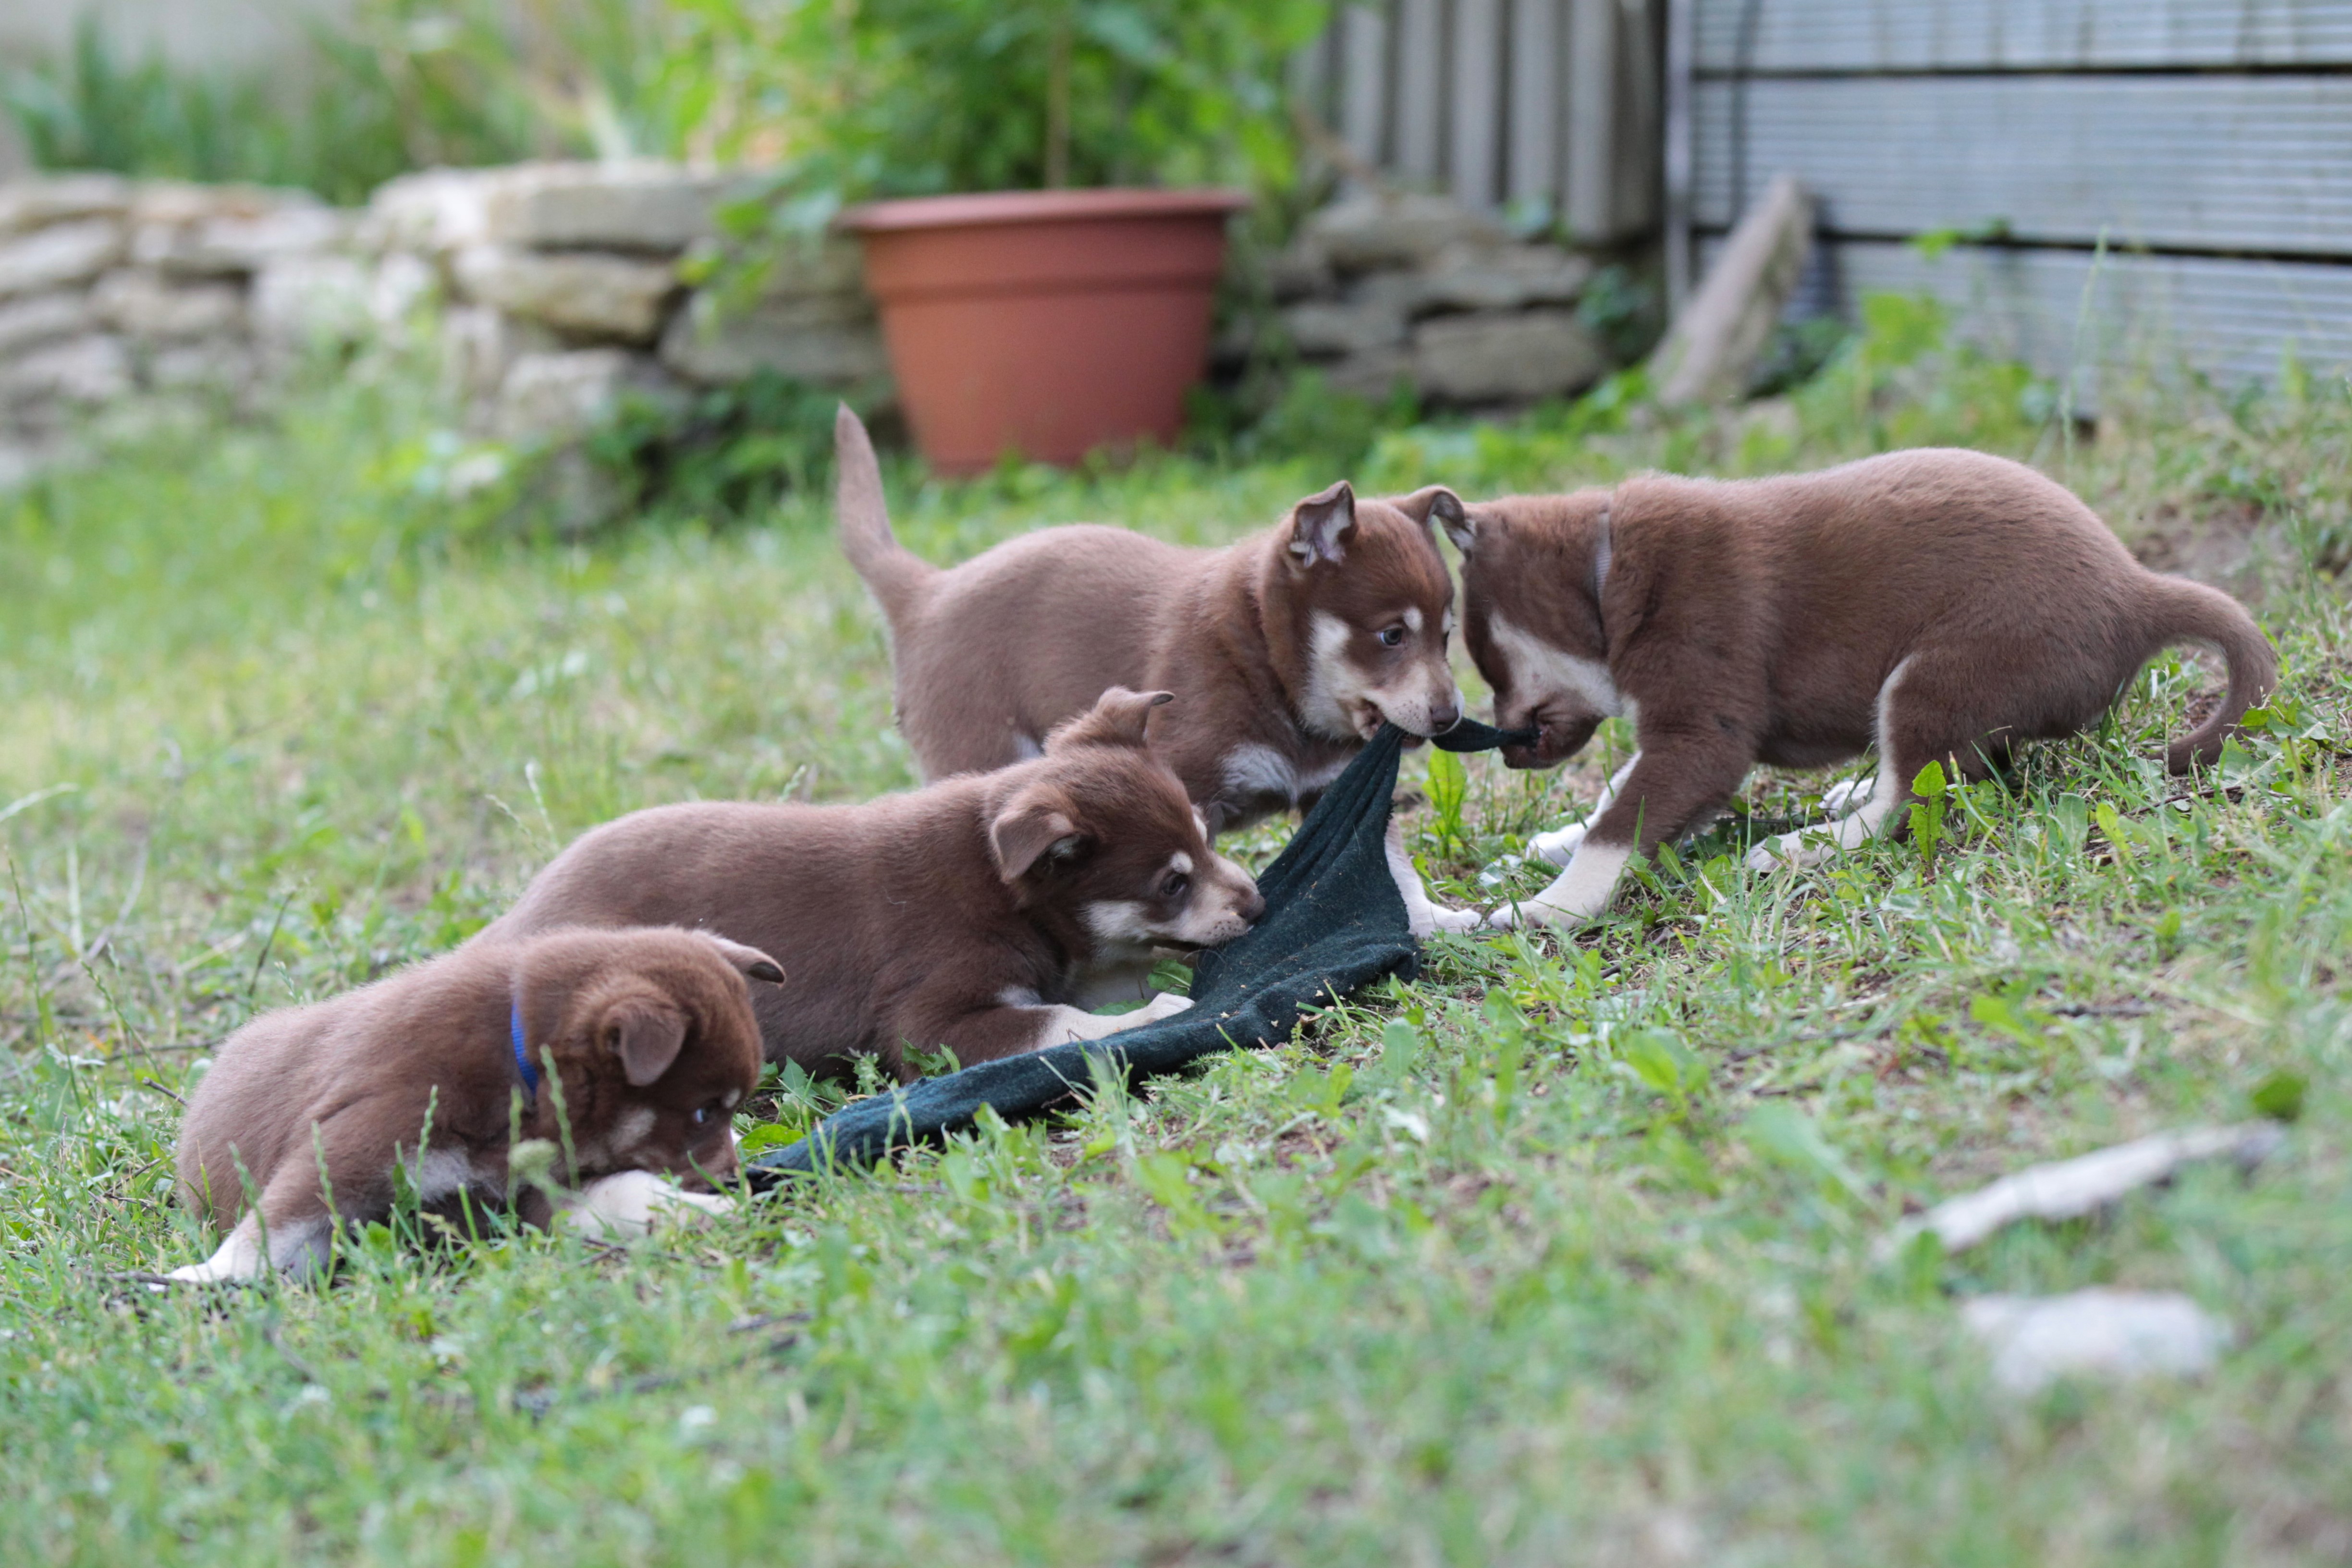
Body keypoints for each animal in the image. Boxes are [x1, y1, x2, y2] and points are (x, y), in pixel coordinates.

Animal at [176, 926, 781, 1279]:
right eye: (704, 1111)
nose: (735, 1179)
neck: (522, 1077)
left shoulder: (535, 1196)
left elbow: (622, 1196)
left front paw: (710, 1212)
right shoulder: (357, 1147)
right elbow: (273, 1226)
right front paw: (204, 1278)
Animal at [477, 686, 1270, 1081]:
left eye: (1207, 838)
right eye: (1171, 884)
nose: (1260, 905)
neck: (1001, 887)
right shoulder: (931, 1022)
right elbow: (1065, 1021)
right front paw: (1160, 1008)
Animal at [837, 411, 1477, 940]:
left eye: (1447, 636)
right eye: (1392, 636)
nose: (1451, 717)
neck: (1271, 671)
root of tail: (928, 591)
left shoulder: (1342, 785)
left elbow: (1393, 865)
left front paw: (1431, 919)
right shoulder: (1192, 789)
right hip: (981, 751)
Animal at [1430, 446, 2277, 926]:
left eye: (1489, 665)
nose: (1504, 754)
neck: (1605, 579)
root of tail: (2137, 590)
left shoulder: (1702, 736)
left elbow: (1623, 823)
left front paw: (1548, 906)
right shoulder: (1676, 741)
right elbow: (1617, 797)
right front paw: (1555, 844)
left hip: (1934, 677)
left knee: (1911, 800)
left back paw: (1806, 845)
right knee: (1960, 773)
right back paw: (1845, 797)